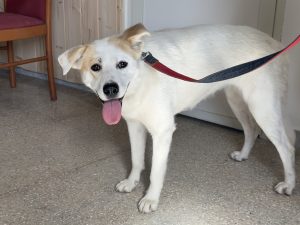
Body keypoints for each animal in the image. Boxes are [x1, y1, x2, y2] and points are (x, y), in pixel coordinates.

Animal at [58, 23, 296, 214]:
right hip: (237, 101)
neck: (141, 82)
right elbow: (136, 160)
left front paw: (151, 199)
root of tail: (274, 42)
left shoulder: (162, 131)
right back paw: (244, 155)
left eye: (122, 64)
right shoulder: (134, 126)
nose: (110, 89)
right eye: (95, 67)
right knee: (250, 130)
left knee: (287, 147)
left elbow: (156, 171)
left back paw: (289, 185)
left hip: (262, 108)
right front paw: (132, 182)